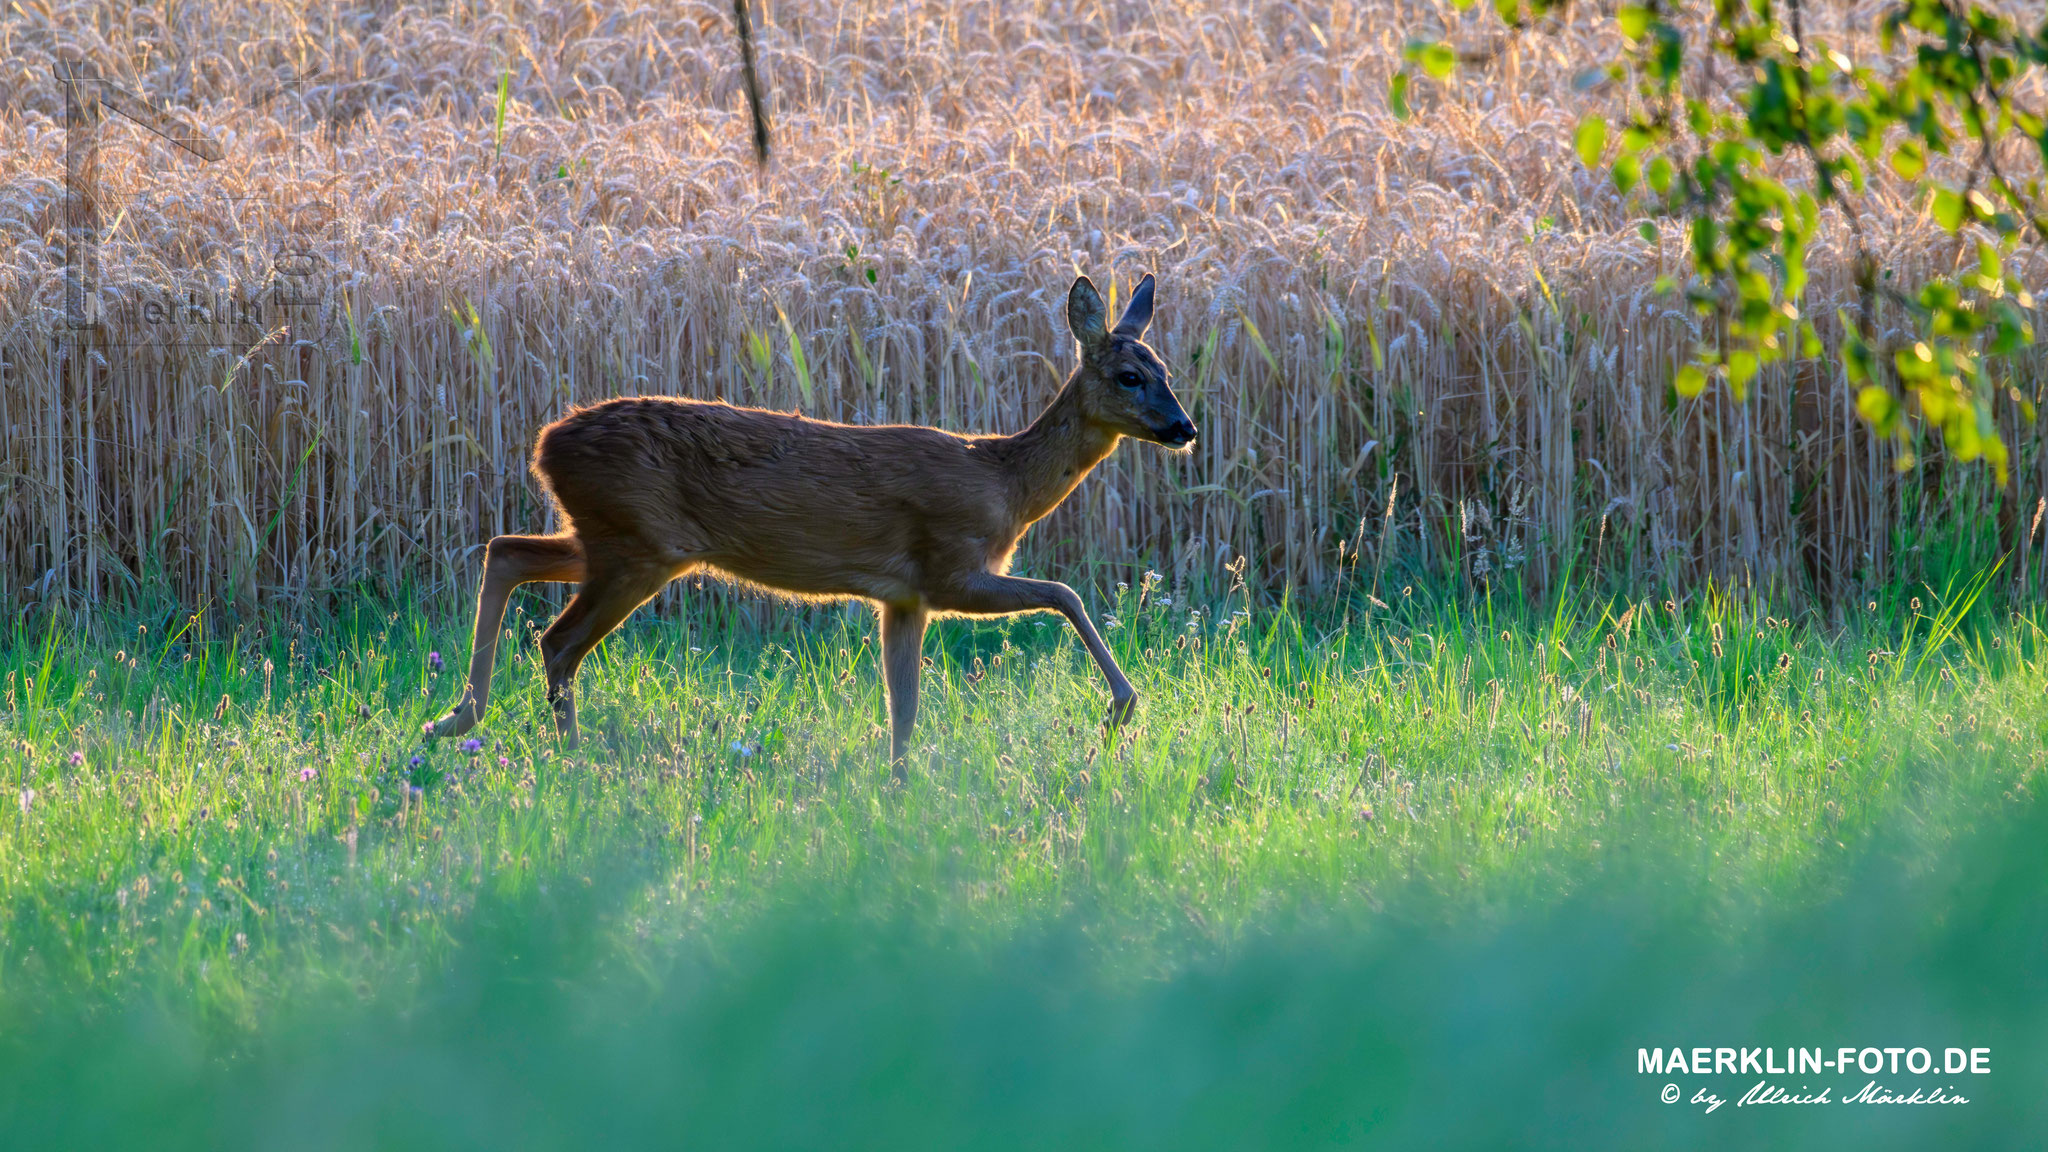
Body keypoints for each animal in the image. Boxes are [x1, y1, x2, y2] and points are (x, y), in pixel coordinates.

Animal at [432, 270, 1196, 770]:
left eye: (1166, 368)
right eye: (1130, 376)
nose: (1184, 428)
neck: (1003, 481)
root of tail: (545, 445)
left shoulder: (905, 599)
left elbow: (903, 708)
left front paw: (898, 786)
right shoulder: (951, 569)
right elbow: (1065, 594)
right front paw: (1121, 707)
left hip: (609, 536)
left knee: (506, 550)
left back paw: (456, 716)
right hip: (637, 546)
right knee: (557, 639)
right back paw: (569, 759)